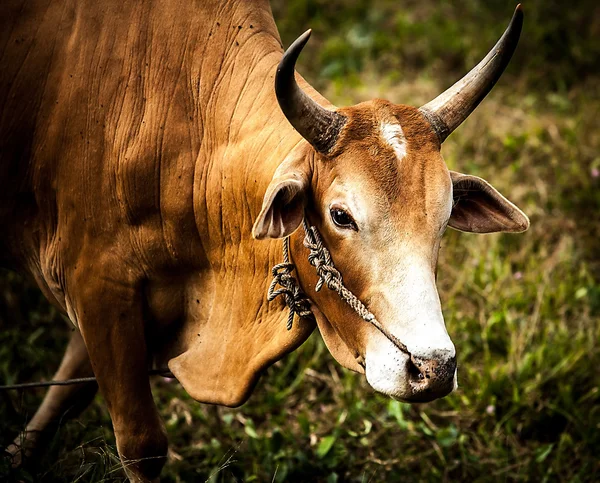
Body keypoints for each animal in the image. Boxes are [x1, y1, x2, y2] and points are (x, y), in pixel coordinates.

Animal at [2, 1, 528, 482]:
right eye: (341, 216)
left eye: (443, 219)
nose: (433, 368)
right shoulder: (98, 285)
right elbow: (140, 444)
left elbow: (70, 382)